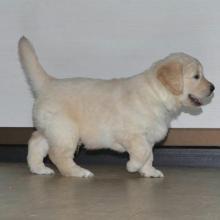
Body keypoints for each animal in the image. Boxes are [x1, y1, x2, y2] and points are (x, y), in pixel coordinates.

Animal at [18, 36, 215, 177]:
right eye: (196, 76)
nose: (213, 88)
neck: (157, 94)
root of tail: (49, 83)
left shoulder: (148, 136)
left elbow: (149, 155)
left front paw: (149, 171)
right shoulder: (132, 134)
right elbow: (143, 152)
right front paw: (133, 166)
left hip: (51, 129)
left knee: (36, 141)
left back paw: (39, 169)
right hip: (65, 131)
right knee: (58, 155)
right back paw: (78, 172)